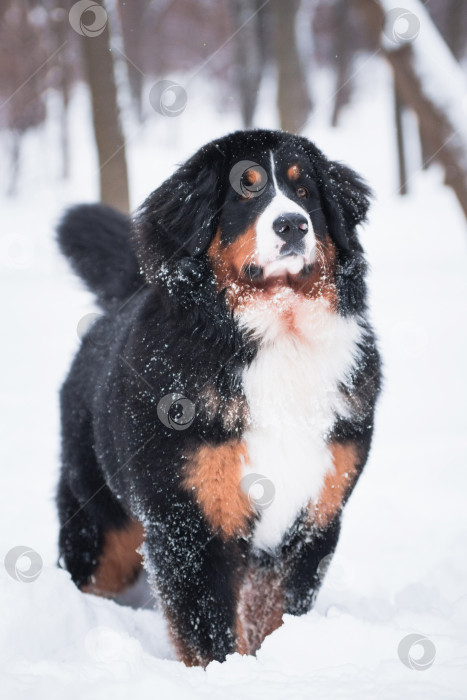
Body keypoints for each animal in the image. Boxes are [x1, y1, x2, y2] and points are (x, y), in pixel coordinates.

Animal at [56, 127, 382, 668]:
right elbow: (210, 635)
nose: (293, 224)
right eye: (245, 190)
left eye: (305, 190)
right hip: (102, 525)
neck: (279, 335)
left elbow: (271, 619)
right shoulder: (191, 523)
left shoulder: (314, 520)